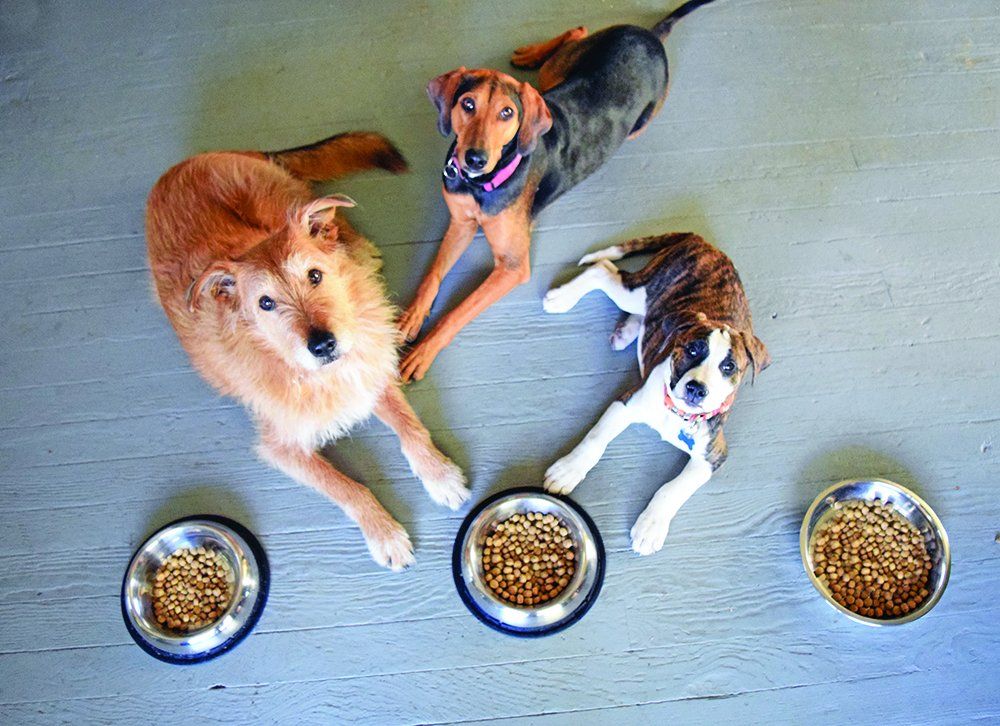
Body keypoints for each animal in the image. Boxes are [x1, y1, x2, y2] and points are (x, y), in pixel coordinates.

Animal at [145, 132, 468, 576]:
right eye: (265, 303)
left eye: (315, 275)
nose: (324, 344)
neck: (316, 374)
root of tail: (181, 166)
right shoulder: (283, 447)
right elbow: (347, 488)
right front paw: (384, 533)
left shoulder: (369, 372)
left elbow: (411, 428)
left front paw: (440, 475)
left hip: (282, 199)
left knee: (331, 224)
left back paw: (358, 251)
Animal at [398, 1, 720, 382]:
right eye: (468, 104)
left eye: (506, 113)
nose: (474, 158)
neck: (480, 183)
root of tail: (650, 34)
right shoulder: (461, 223)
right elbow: (432, 275)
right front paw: (409, 318)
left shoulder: (513, 267)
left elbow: (458, 311)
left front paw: (425, 349)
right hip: (556, 75)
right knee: (575, 33)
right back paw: (531, 54)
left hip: (637, 119)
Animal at [544, 233, 768, 556]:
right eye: (692, 350)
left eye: (729, 367)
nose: (696, 389)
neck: (678, 415)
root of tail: (704, 243)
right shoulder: (625, 403)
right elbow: (595, 439)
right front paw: (568, 471)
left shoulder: (712, 455)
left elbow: (674, 488)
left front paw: (651, 526)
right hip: (643, 291)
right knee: (604, 270)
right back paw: (562, 298)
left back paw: (627, 331)